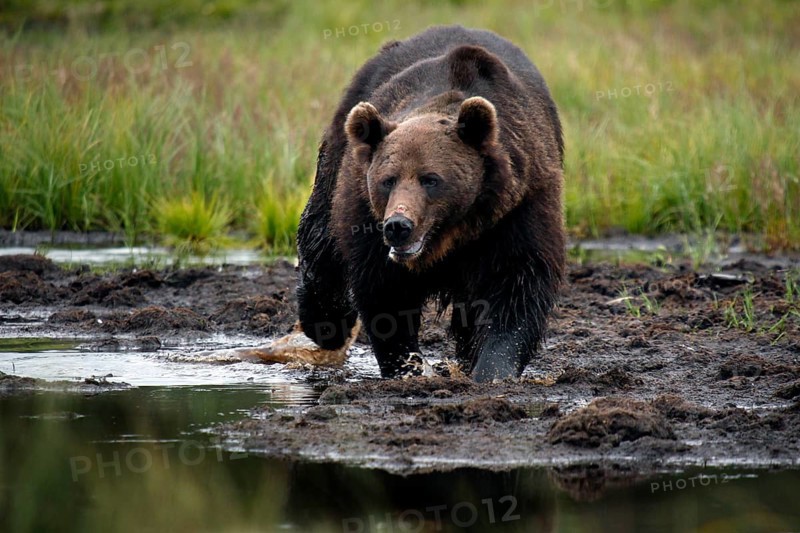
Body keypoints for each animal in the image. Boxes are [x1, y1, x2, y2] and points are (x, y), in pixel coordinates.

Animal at [289, 25, 565, 382]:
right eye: (388, 179)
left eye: (431, 179)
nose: (398, 226)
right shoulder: (367, 217)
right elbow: (384, 294)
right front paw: (407, 367)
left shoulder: (519, 206)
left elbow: (518, 284)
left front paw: (491, 369)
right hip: (341, 145)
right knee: (322, 239)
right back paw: (326, 325)